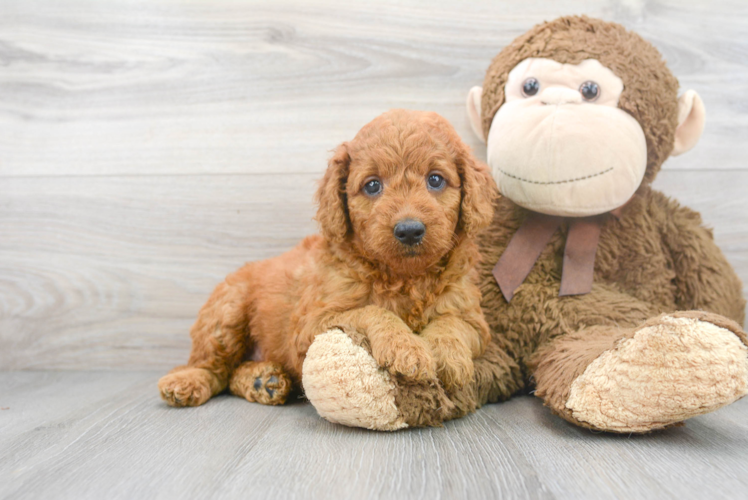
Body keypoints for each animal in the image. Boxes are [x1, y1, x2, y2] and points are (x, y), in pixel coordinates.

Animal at [158, 109, 496, 406]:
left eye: (435, 180)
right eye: (373, 185)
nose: (409, 230)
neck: (403, 277)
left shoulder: (473, 317)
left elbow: (453, 323)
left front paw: (447, 356)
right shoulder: (312, 324)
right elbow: (371, 311)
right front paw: (405, 347)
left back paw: (263, 381)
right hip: (226, 312)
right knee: (213, 369)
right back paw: (188, 381)